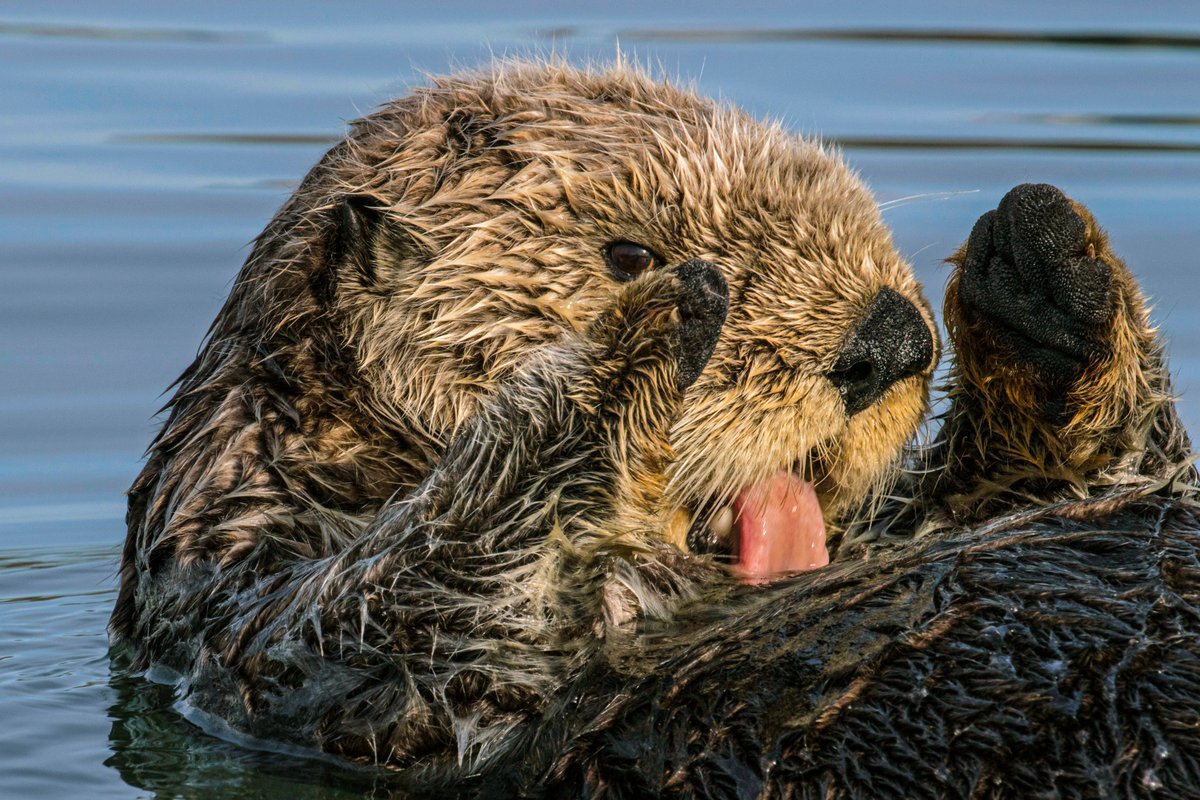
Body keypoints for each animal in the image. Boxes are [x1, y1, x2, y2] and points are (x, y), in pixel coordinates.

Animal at [109, 61, 1200, 797]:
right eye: (627, 249)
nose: (890, 339)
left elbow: (1092, 480)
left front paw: (1044, 260)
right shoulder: (260, 616)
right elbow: (415, 606)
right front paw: (651, 326)